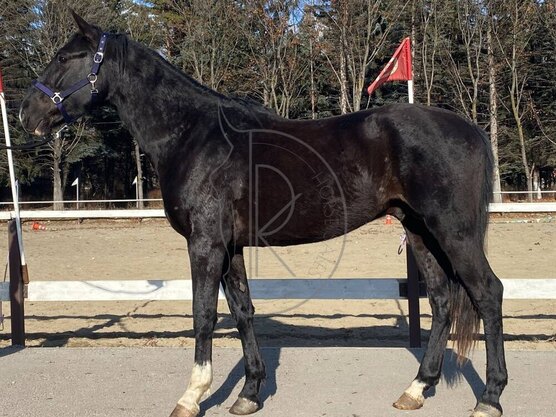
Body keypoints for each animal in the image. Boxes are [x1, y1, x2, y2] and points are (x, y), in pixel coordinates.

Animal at [19, 11, 507, 417]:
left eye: (65, 57)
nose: (27, 112)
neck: (193, 135)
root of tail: (469, 129)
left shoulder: (205, 244)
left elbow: (202, 314)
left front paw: (191, 397)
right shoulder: (230, 246)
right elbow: (243, 310)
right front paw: (250, 393)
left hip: (453, 232)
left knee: (487, 293)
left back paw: (489, 397)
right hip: (419, 230)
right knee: (442, 299)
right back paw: (416, 389)